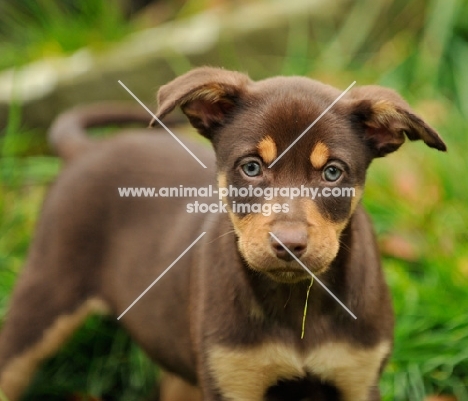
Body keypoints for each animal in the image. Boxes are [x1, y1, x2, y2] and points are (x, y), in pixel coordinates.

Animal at [0, 67, 446, 398]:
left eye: (333, 173)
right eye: (251, 167)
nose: (289, 245)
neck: (294, 303)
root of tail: (88, 151)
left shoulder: (357, 375)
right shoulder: (232, 378)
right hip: (44, 297)